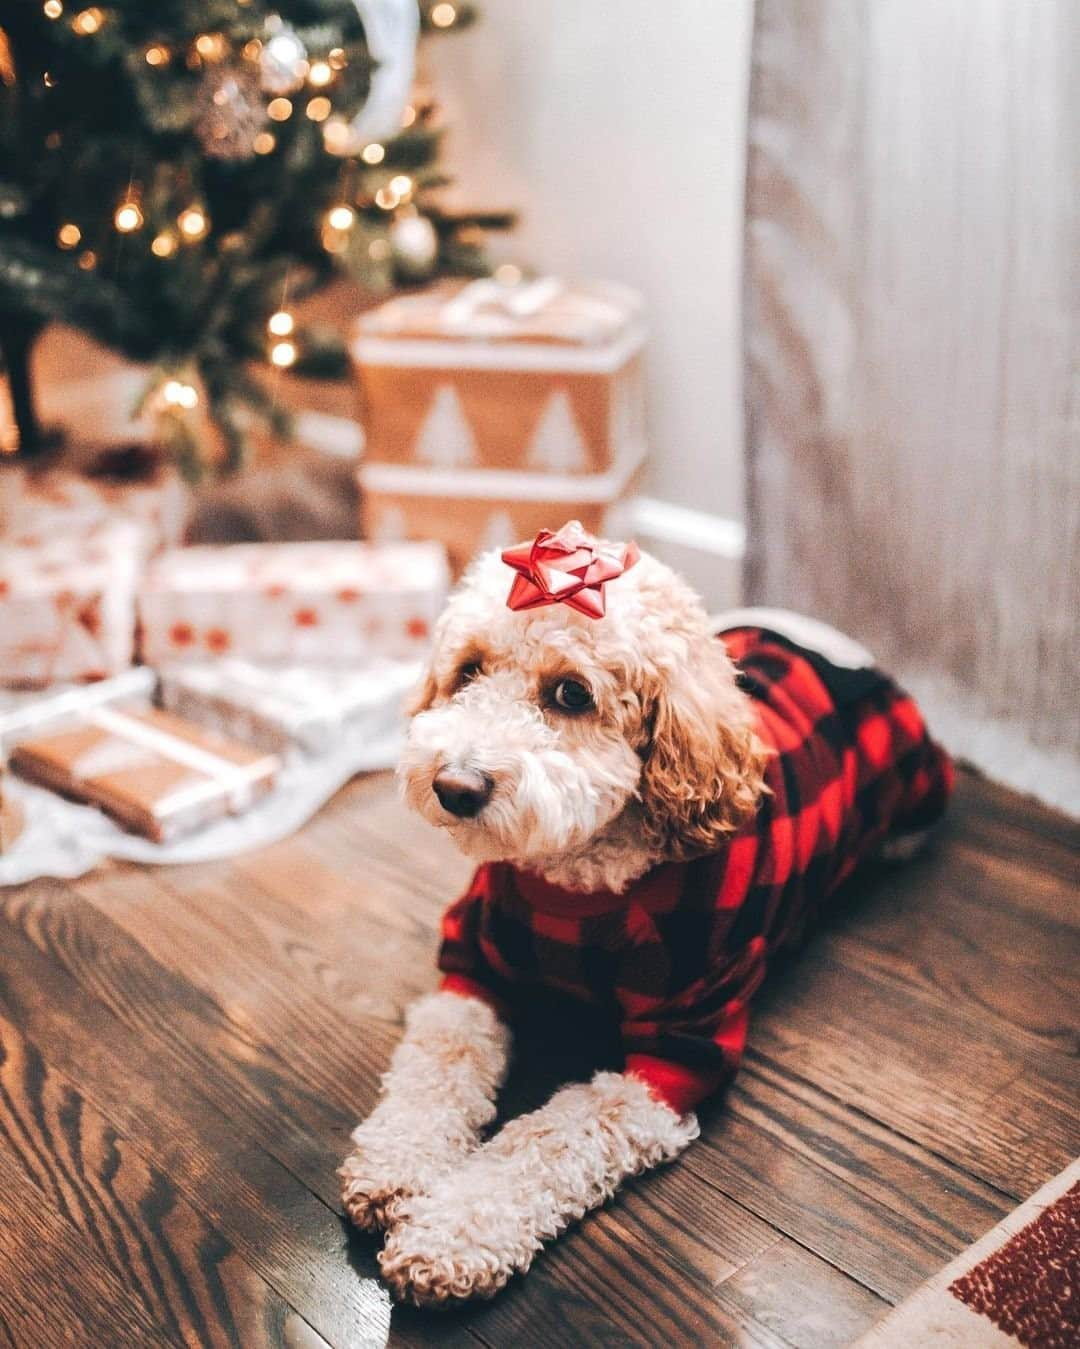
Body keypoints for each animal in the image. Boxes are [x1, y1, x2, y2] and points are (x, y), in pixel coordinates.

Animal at [339, 520, 954, 1300]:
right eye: (468, 670)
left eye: (572, 693)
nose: (455, 786)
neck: (579, 887)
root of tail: (833, 640)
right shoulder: (473, 966)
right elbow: (434, 1067)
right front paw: (399, 1166)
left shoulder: (673, 1053)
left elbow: (551, 1135)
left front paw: (452, 1232)